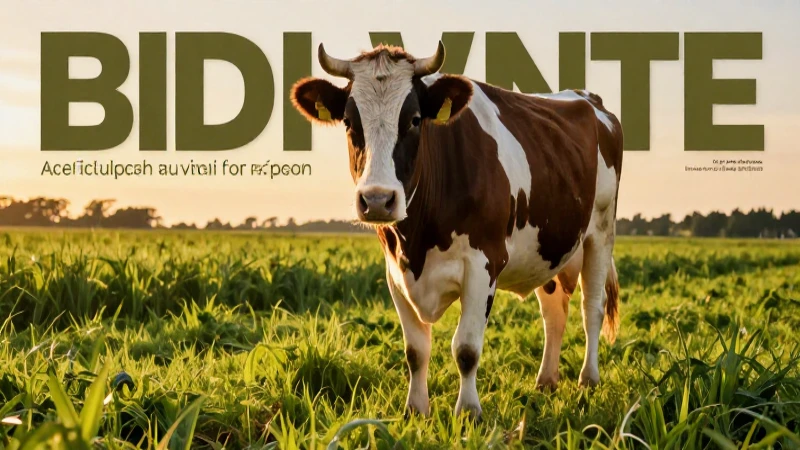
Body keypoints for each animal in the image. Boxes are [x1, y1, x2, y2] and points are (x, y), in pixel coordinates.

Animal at [290, 41, 623, 419]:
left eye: (415, 119)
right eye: (348, 121)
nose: (377, 200)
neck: (417, 240)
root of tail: (587, 99)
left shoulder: (484, 264)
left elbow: (466, 348)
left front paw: (469, 411)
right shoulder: (395, 271)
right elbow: (415, 350)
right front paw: (415, 410)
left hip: (601, 231)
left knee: (592, 306)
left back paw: (588, 380)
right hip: (547, 246)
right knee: (554, 312)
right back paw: (546, 381)